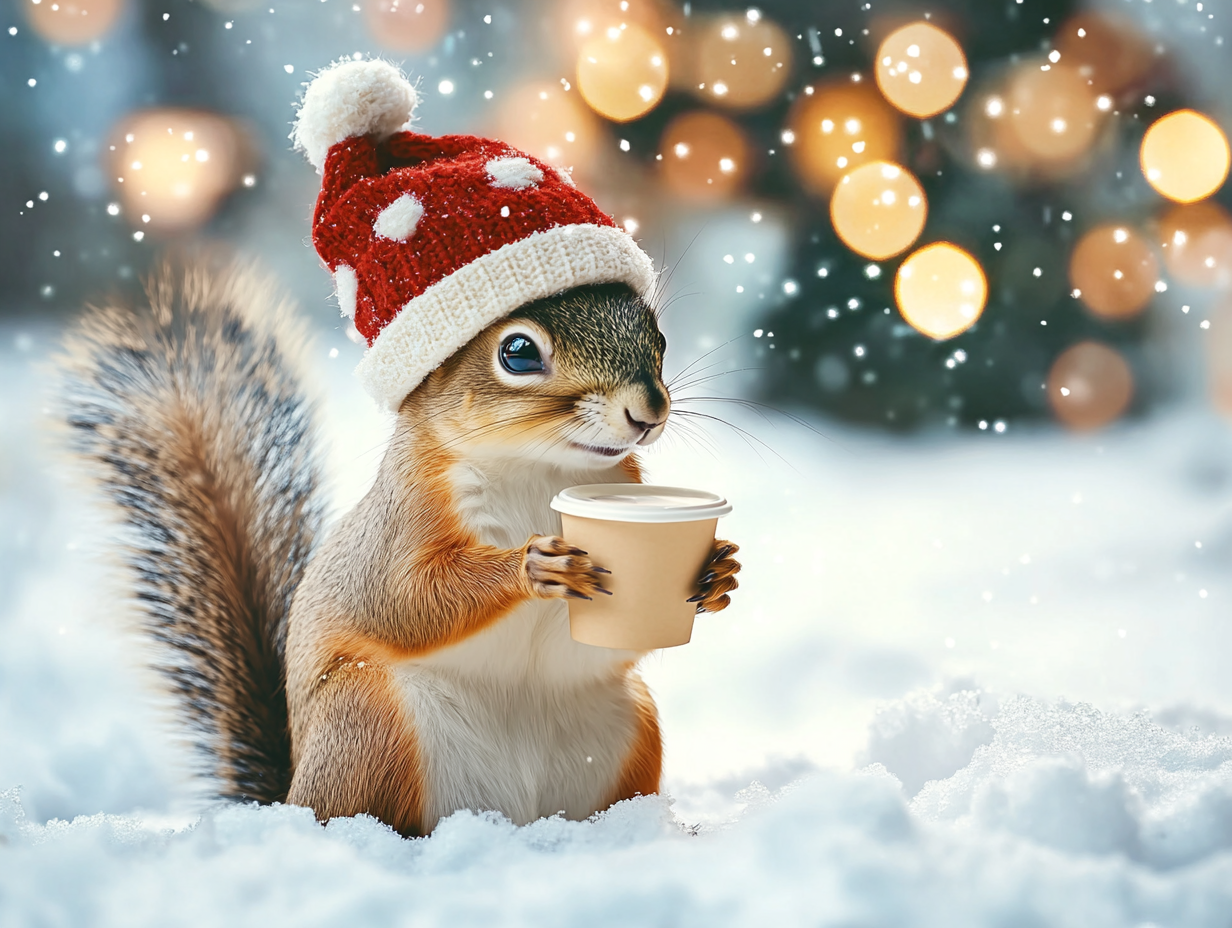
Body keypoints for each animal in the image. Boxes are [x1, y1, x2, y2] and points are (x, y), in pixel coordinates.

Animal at [58, 61, 741, 836]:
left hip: (631, 726)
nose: (647, 411)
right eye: (517, 352)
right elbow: (404, 597)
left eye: (657, 333)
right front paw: (530, 565)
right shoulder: (405, 518)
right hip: (370, 722)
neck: (538, 470)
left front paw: (718, 569)